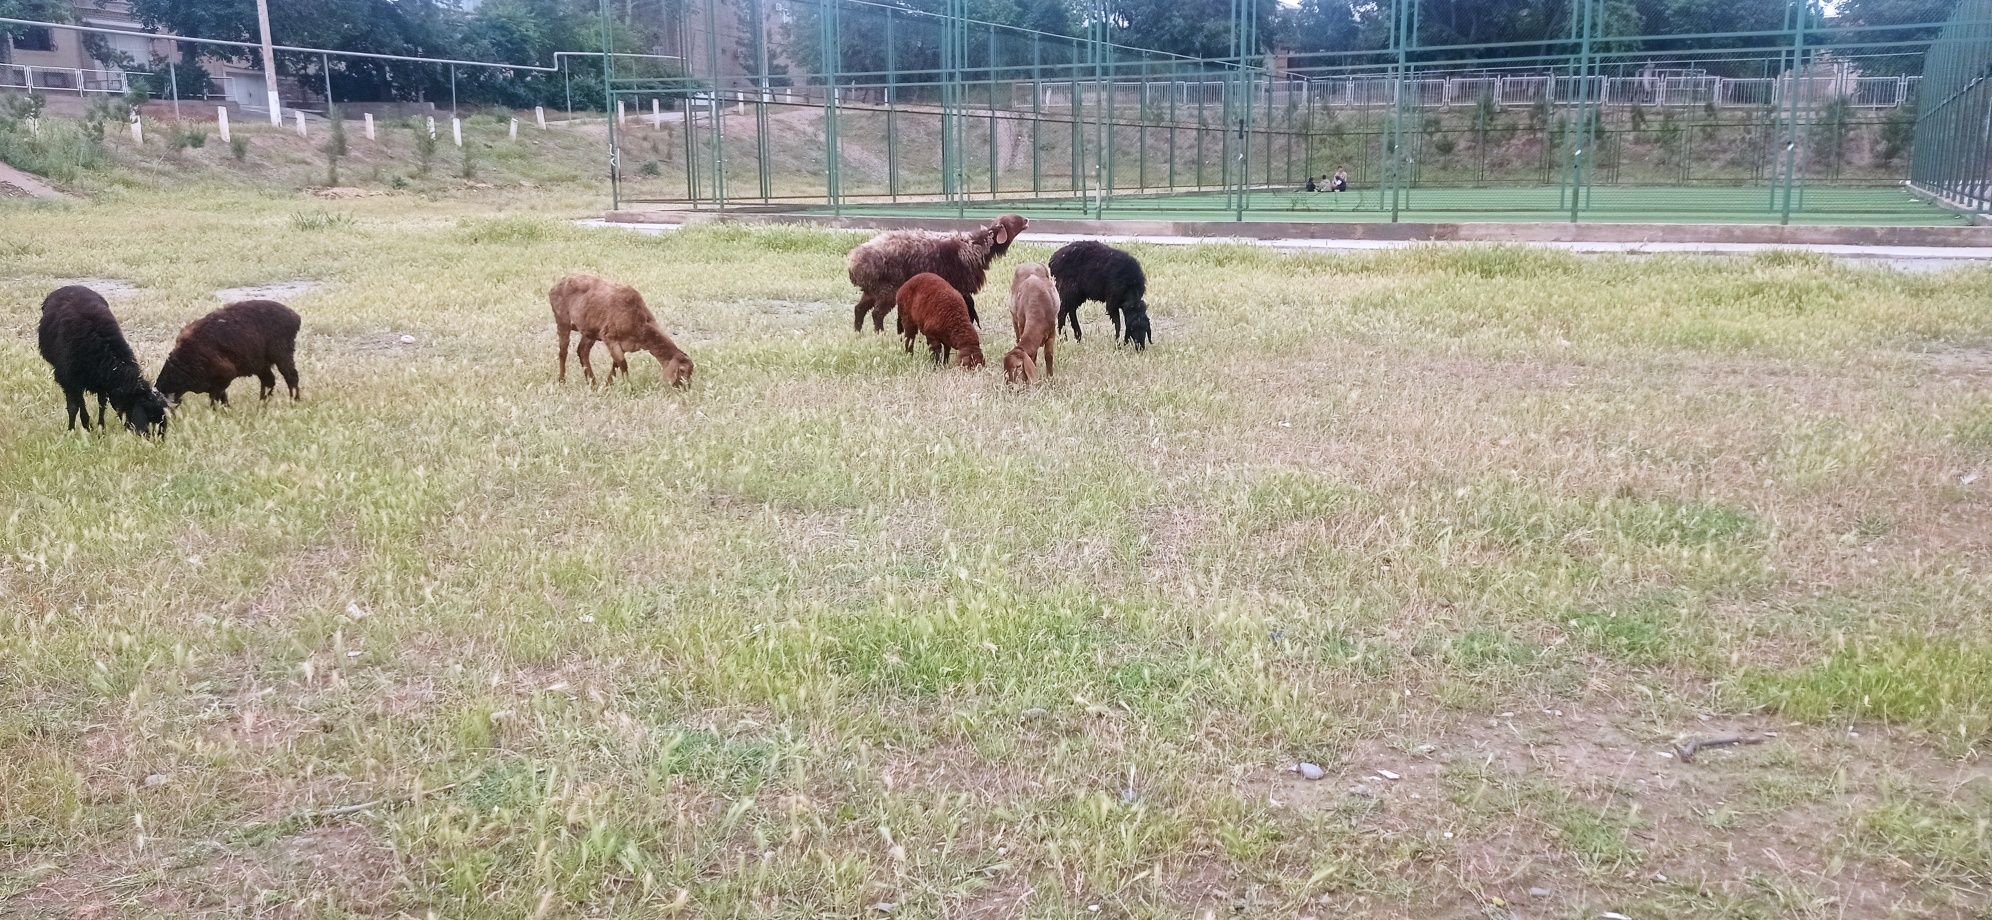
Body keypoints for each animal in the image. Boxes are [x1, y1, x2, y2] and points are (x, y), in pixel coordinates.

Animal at [37, 284, 172, 440]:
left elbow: (101, 404)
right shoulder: (68, 380)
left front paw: (100, 430)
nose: (156, 440)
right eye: (149, 416)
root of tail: (70, 286)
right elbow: (73, 407)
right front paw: (73, 430)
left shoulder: (101, 382)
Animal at [157, 300, 302, 404]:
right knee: (269, 381)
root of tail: (295, 316)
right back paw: (262, 405)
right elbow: (222, 398)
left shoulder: (225, 376)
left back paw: (294, 402)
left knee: (291, 377)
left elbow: (215, 399)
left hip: (282, 356)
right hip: (261, 364)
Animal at [549, 272, 697, 388]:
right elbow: (623, 364)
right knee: (563, 352)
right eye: (682, 370)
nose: (685, 388)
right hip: (562, 319)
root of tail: (554, 287)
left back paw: (593, 383)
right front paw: (628, 387)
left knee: (582, 351)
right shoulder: (609, 336)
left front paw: (608, 385)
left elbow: (616, 364)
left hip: (590, 330)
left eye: (691, 372)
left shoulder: (623, 344)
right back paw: (562, 381)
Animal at [844, 214, 1027, 332]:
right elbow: (967, 310)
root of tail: (854, 261)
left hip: (872, 290)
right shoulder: (961, 287)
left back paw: (857, 333)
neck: (975, 245)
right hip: (887, 289)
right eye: (1013, 220)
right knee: (876, 314)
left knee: (859, 309)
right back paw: (879, 334)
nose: (1027, 220)